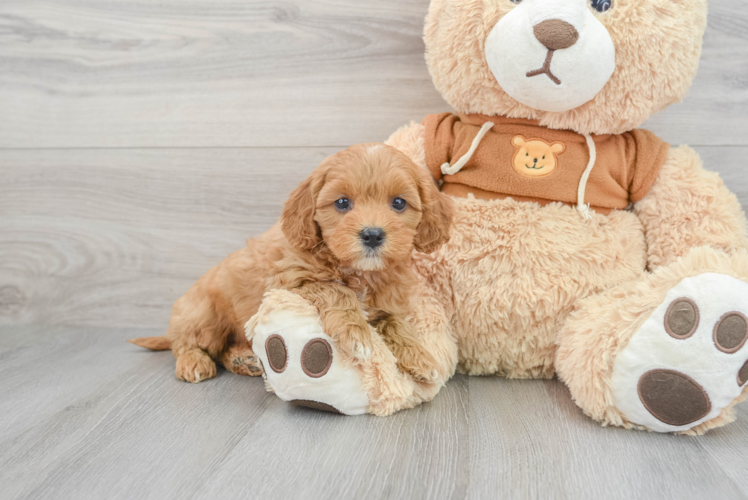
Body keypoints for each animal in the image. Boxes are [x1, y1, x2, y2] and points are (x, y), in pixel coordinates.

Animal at [129, 143, 452, 384]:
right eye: (342, 203)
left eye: (398, 203)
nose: (372, 234)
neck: (358, 270)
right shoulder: (289, 282)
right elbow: (335, 290)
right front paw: (356, 332)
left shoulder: (386, 302)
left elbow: (395, 323)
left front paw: (420, 356)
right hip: (204, 315)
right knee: (187, 344)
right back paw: (193, 362)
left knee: (223, 349)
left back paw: (243, 359)